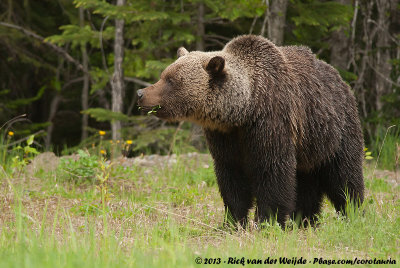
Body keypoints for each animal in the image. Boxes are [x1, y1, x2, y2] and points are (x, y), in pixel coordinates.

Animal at [138, 35, 366, 228]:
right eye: (163, 75)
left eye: (171, 80)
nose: (141, 93)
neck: (244, 110)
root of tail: (340, 79)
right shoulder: (225, 137)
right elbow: (231, 180)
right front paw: (232, 222)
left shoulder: (271, 122)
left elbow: (273, 172)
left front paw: (267, 221)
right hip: (309, 146)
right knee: (305, 181)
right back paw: (304, 219)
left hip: (335, 131)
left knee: (344, 177)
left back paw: (353, 213)